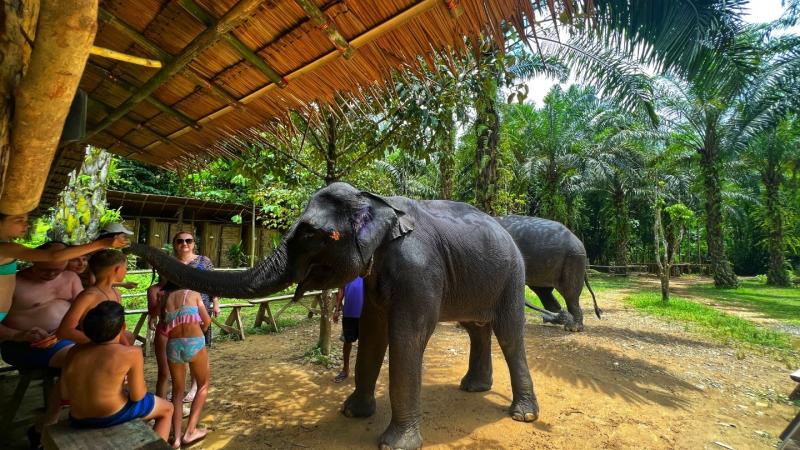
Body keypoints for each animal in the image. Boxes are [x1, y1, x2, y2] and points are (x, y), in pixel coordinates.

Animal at [127, 182, 539, 450]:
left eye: (312, 235)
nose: (126, 243)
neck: (376, 200)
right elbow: (372, 333)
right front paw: (352, 413)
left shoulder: (419, 269)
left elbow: (405, 339)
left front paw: (394, 445)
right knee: (477, 329)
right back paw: (474, 388)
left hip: (512, 277)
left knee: (508, 334)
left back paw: (523, 415)